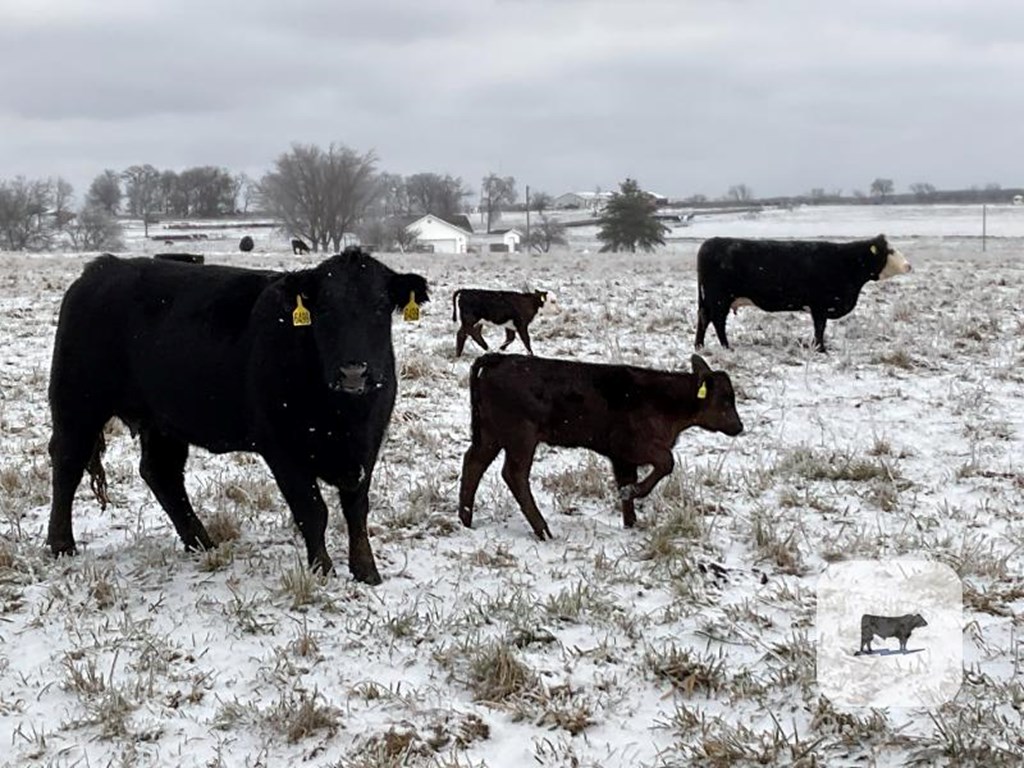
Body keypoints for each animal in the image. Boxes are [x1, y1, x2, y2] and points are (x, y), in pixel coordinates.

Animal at [48, 249, 428, 585]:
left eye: (380, 307)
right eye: (324, 309)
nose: (354, 372)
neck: (345, 415)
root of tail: (101, 268)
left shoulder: (367, 446)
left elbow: (356, 511)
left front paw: (367, 572)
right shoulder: (283, 449)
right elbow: (313, 511)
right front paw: (323, 571)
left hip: (163, 421)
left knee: (161, 473)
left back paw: (201, 542)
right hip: (77, 403)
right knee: (67, 464)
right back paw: (61, 544)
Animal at [460, 352, 741, 536]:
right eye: (726, 400)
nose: (739, 426)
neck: (664, 399)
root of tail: (499, 358)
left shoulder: (623, 459)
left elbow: (627, 480)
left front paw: (631, 522)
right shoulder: (631, 445)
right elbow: (666, 462)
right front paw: (632, 493)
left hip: (491, 434)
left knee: (474, 462)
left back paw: (466, 517)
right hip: (521, 437)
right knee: (514, 474)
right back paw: (543, 530)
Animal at [696, 234, 913, 354]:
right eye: (890, 251)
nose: (908, 266)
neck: (847, 262)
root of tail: (711, 242)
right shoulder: (820, 305)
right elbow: (820, 328)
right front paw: (821, 349)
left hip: (711, 299)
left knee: (704, 318)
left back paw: (699, 346)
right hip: (720, 299)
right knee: (717, 321)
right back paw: (726, 347)